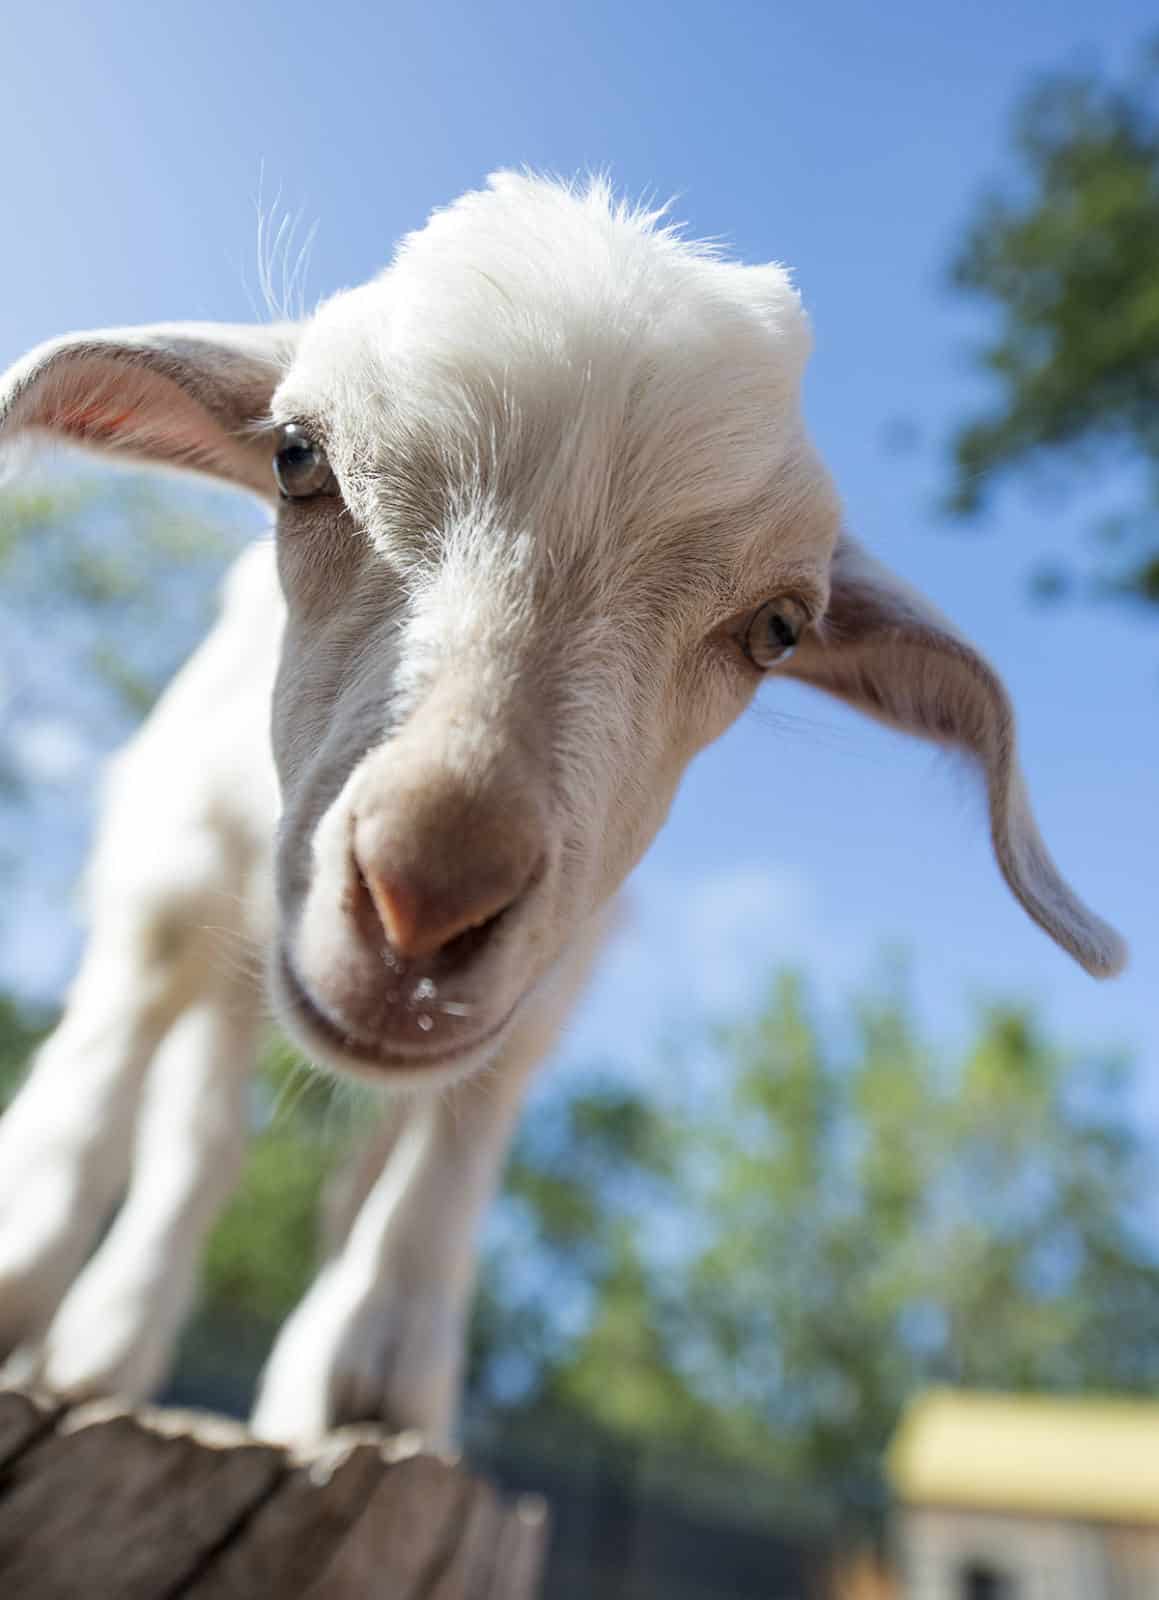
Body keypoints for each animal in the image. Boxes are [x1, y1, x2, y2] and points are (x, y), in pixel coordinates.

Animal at [0, 173, 1126, 1446]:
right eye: (294, 458)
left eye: (778, 628)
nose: (428, 892)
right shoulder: (174, 852)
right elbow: (112, 1060)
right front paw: (22, 1270)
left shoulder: (568, 941)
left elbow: (465, 1122)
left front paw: (383, 1369)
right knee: (201, 1128)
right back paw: (105, 1342)